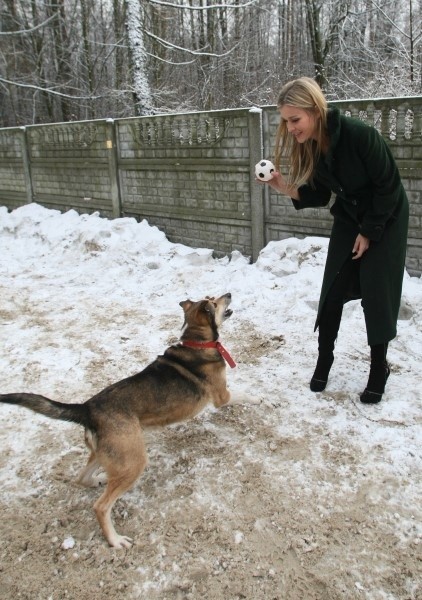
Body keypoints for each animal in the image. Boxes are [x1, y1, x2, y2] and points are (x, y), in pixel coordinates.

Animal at [0, 294, 234, 548]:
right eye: (214, 301)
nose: (229, 294)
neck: (197, 343)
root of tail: (86, 408)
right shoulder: (222, 397)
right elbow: (244, 395)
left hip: (108, 453)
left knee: (82, 478)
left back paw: (98, 480)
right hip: (134, 461)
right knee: (101, 507)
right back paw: (115, 540)